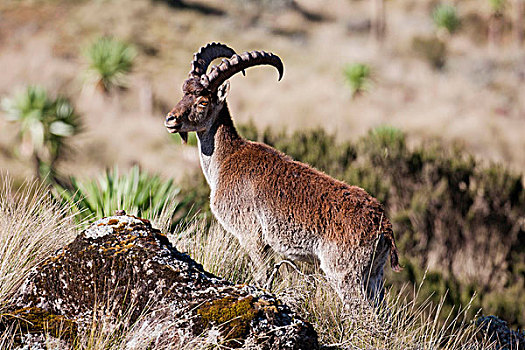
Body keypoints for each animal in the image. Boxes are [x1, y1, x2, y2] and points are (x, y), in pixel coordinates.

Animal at [165, 43, 402, 306]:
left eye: (203, 101)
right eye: (184, 93)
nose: (171, 119)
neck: (226, 159)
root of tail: (383, 225)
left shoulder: (251, 236)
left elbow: (262, 276)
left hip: (345, 273)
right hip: (374, 275)